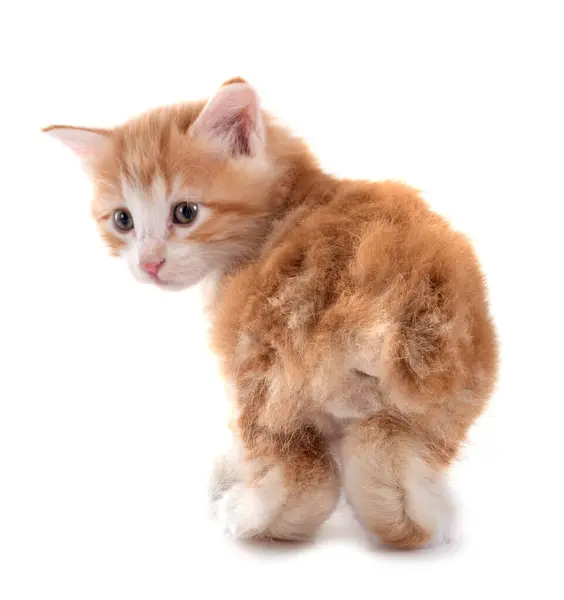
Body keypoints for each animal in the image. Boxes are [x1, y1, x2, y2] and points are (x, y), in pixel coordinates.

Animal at [46, 77, 500, 548]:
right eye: (123, 220)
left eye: (185, 213)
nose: (149, 263)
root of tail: (380, 305)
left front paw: (230, 476)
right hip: (446, 395)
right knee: (389, 461)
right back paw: (425, 517)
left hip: (268, 373)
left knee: (301, 475)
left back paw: (248, 516)